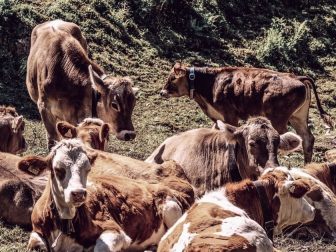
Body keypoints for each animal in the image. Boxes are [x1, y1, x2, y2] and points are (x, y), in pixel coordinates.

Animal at [18, 139, 196, 251]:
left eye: (88, 169)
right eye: (58, 169)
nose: (78, 193)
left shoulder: (115, 231)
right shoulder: (37, 229)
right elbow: (37, 245)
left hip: (172, 208)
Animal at [161, 63, 334, 163]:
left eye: (172, 78)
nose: (162, 92)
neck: (211, 83)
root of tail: (296, 77)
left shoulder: (230, 115)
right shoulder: (218, 118)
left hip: (279, 118)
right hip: (298, 117)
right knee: (307, 138)